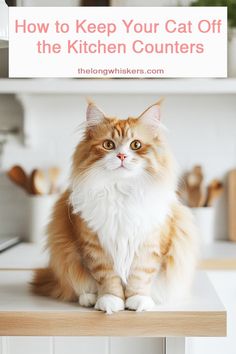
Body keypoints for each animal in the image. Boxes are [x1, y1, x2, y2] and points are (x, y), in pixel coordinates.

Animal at [31, 101, 197, 314]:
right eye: (108, 145)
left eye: (136, 145)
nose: (122, 155)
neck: (121, 190)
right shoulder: (95, 246)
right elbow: (107, 278)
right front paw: (110, 301)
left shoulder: (149, 243)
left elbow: (141, 275)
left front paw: (137, 300)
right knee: (78, 287)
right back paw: (89, 298)